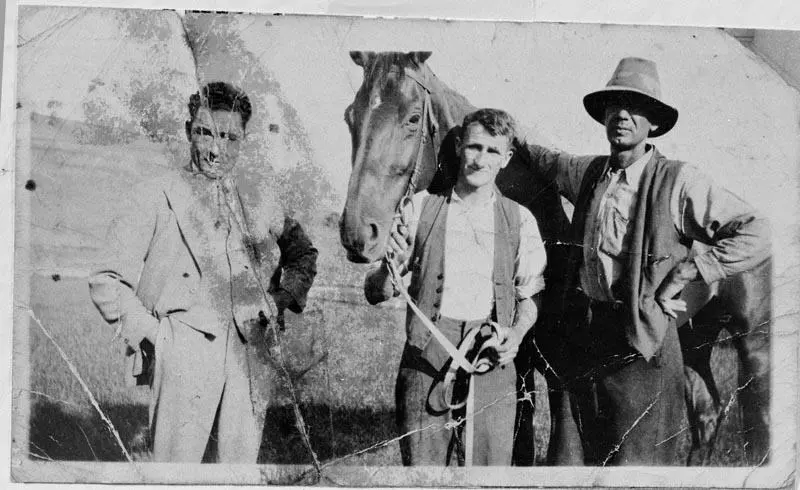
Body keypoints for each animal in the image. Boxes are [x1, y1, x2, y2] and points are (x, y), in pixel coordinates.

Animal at [340, 50, 772, 468]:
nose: (358, 234)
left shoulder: (549, 369)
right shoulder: (519, 361)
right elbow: (520, 445)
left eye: (413, 118)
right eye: (350, 116)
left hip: (754, 342)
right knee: (707, 416)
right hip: (695, 342)